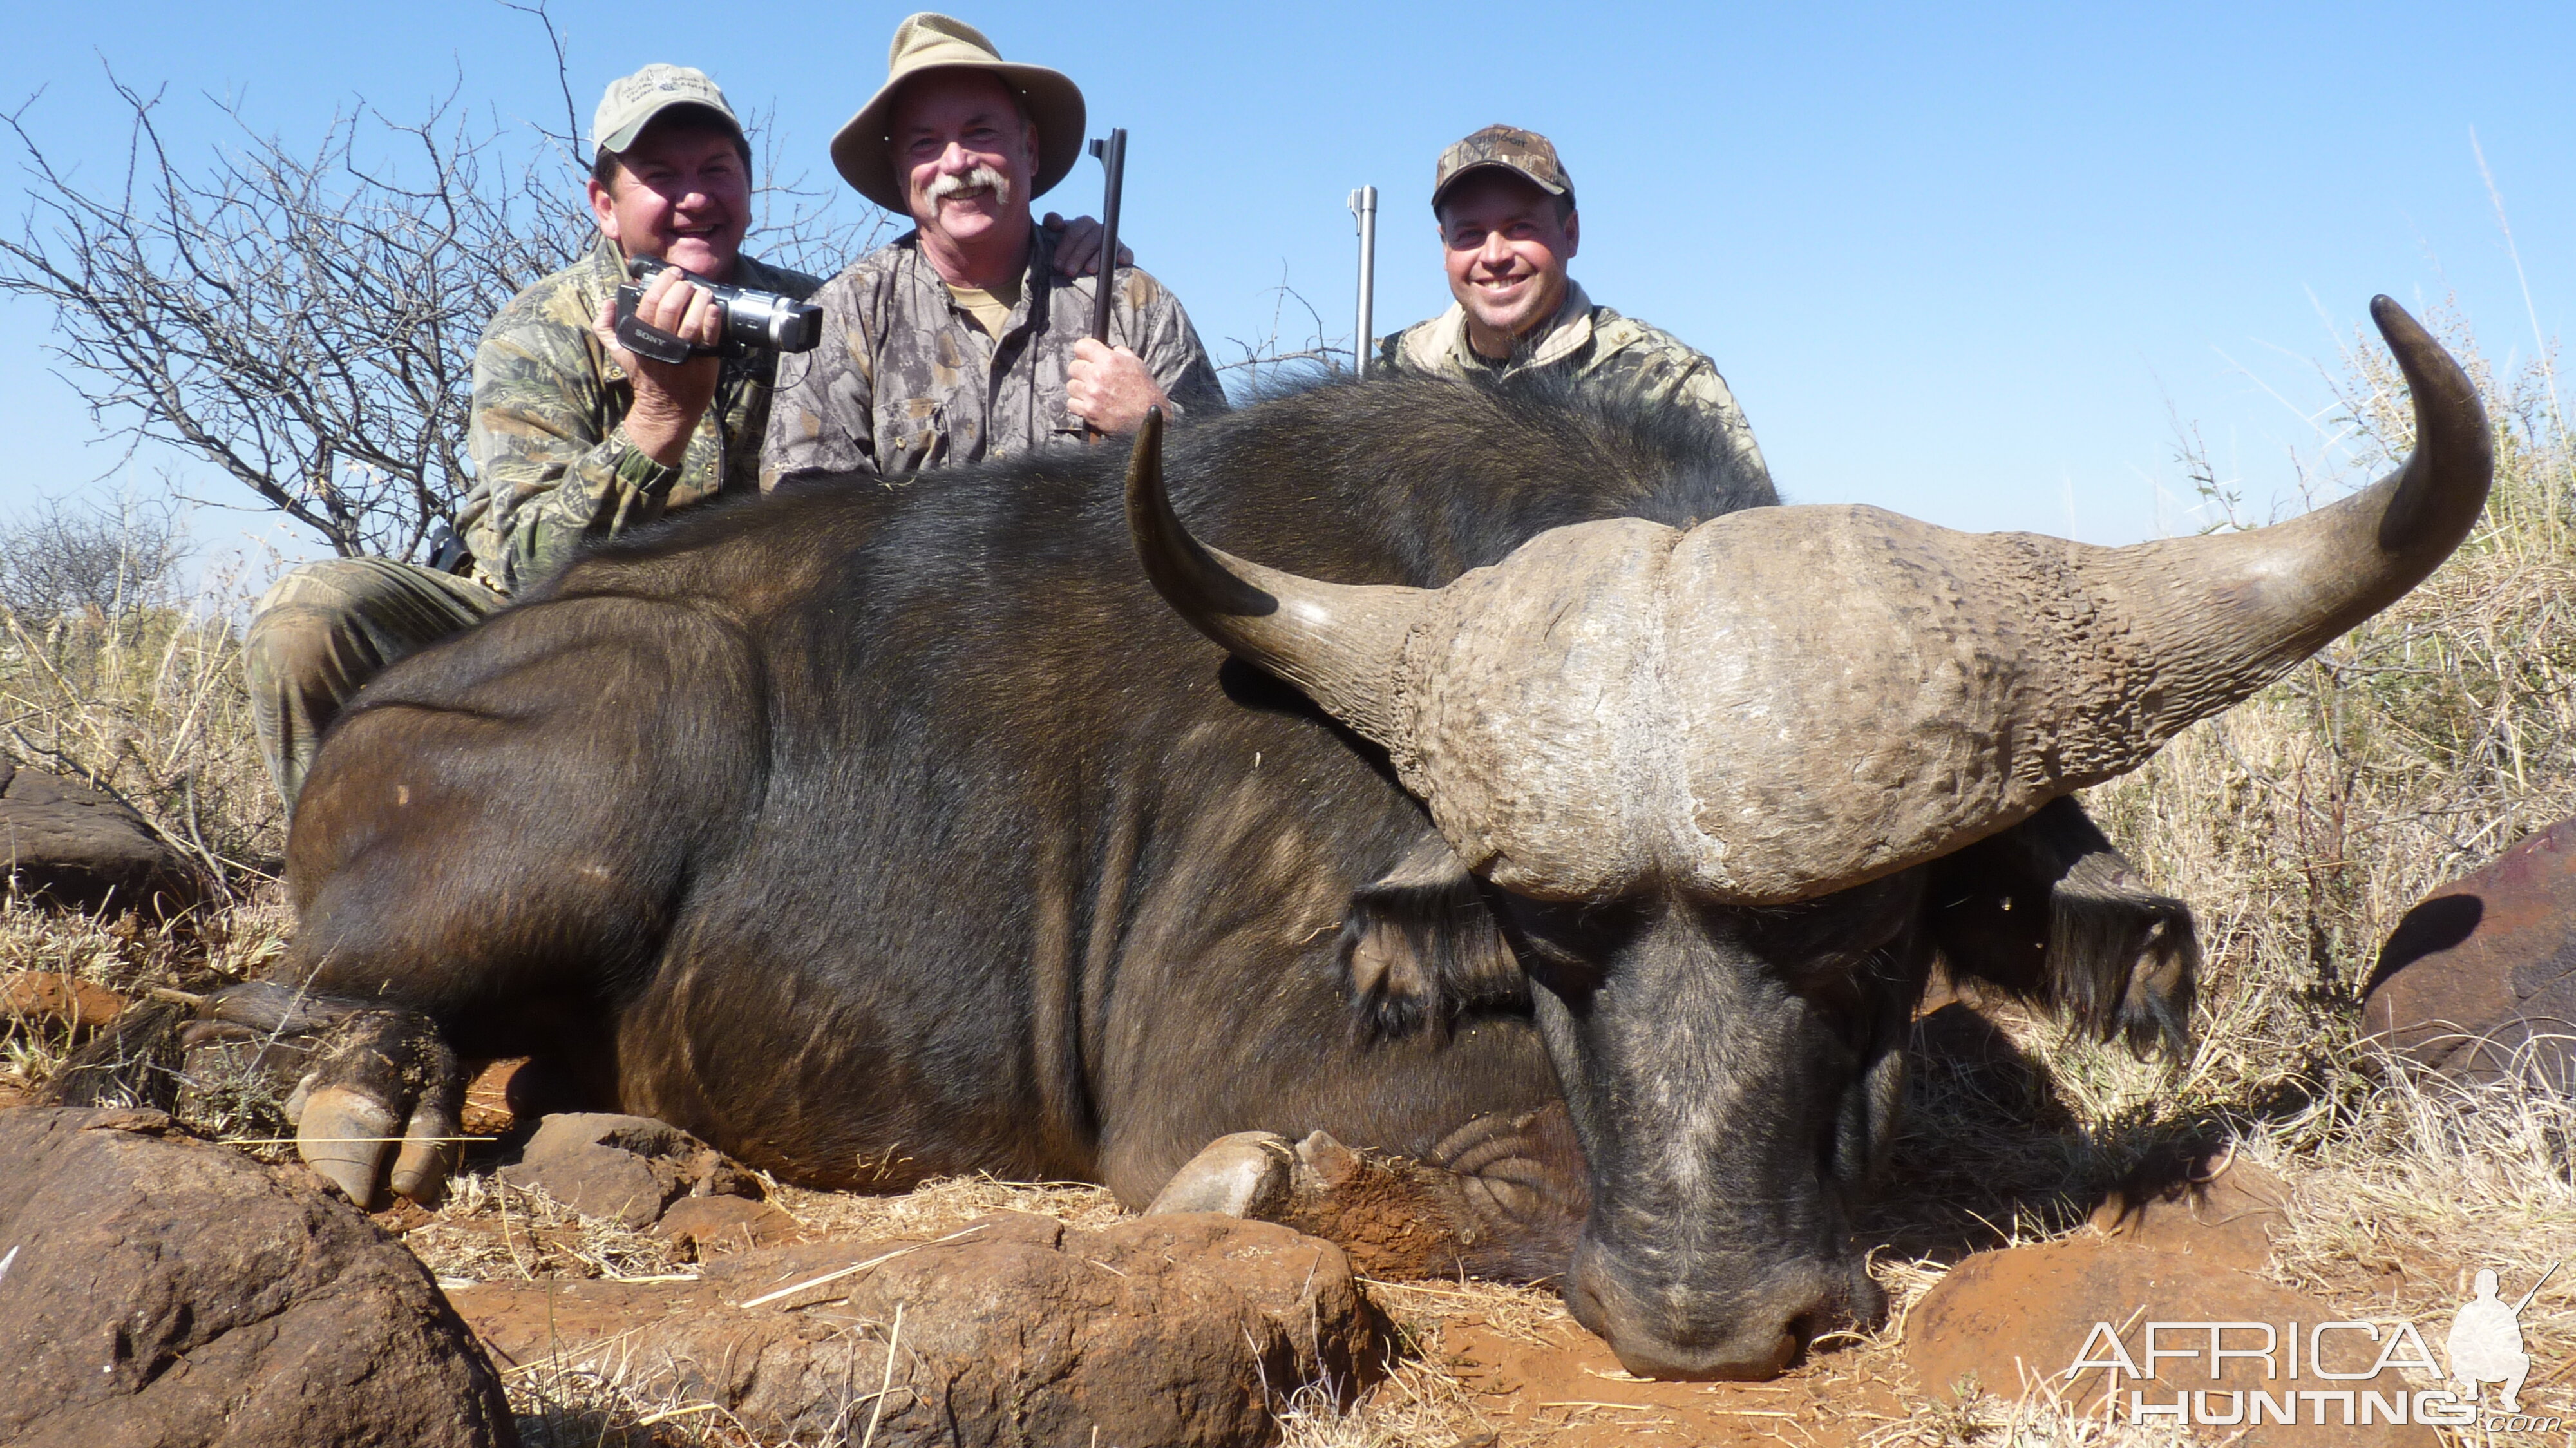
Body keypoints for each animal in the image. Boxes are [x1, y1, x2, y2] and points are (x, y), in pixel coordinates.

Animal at [151, 294, 2483, 1371]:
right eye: (1547, 948)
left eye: (1867, 937)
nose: (1708, 1315)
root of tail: (402, 699)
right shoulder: (1247, 1057)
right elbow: (1384, 1163)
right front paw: (1270, 1185)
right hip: (605, 772)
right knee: (279, 1017)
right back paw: (376, 1099)